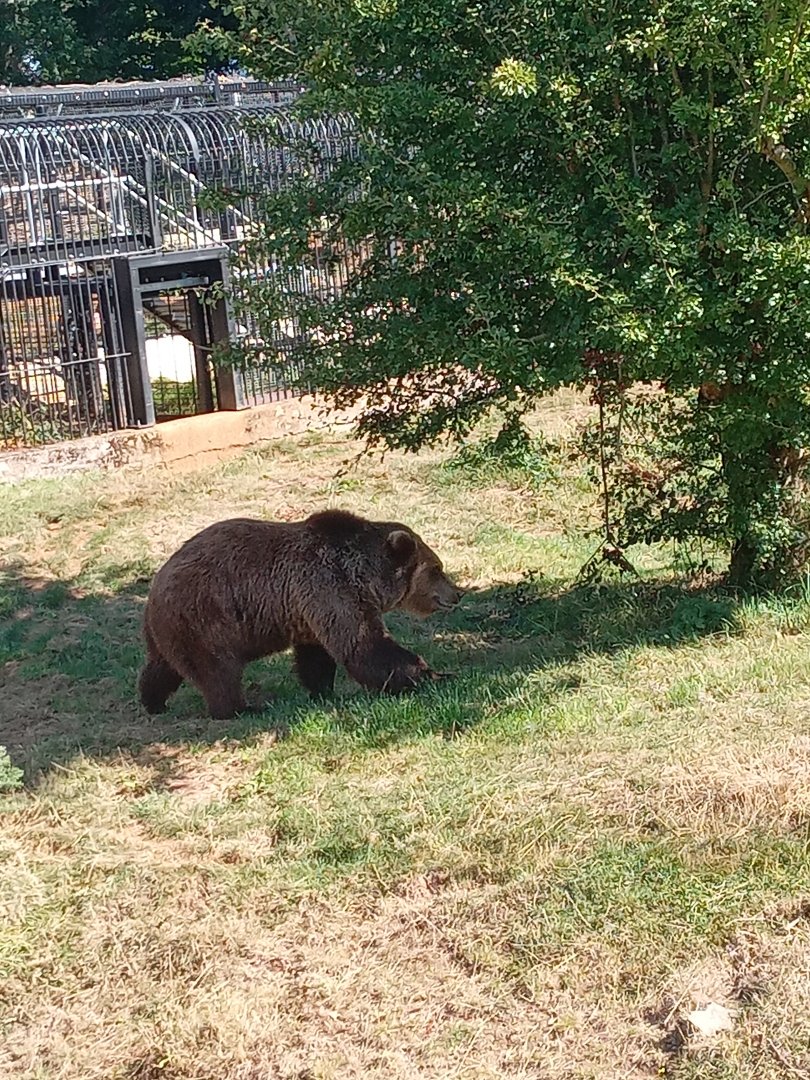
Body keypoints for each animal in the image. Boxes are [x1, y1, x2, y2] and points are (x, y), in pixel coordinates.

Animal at [138, 508, 461, 720]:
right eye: (437, 569)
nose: (457, 594)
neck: (366, 575)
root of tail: (155, 587)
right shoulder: (330, 585)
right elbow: (364, 645)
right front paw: (432, 674)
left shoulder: (312, 609)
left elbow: (316, 657)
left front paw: (323, 690)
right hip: (205, 617)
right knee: (219, 671)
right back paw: (242, 708)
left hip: (169, 630)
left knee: (163, 667)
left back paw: (153, 701)